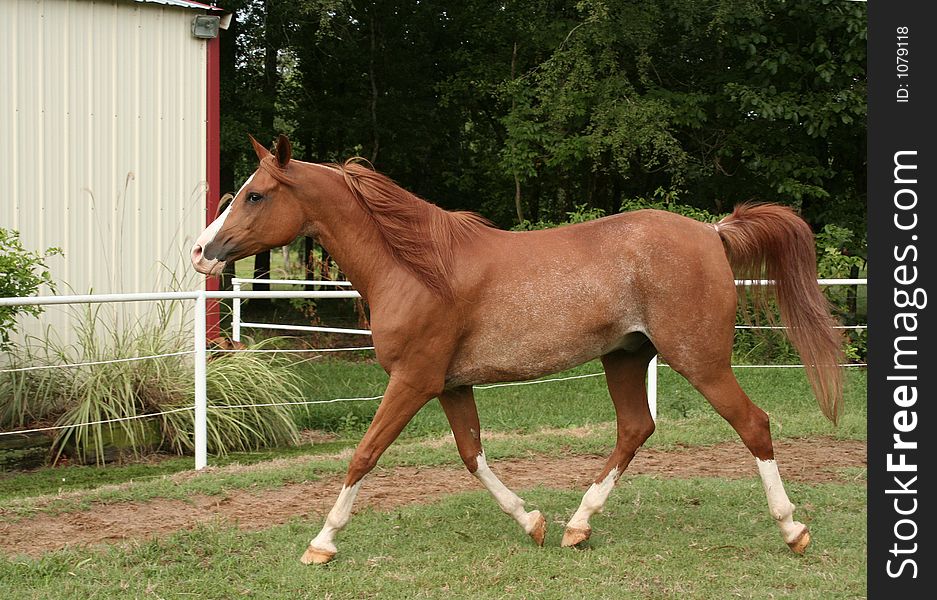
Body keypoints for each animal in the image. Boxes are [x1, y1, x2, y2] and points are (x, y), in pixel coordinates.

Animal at [190, 134, 840, 564]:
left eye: (256, 195)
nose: (201, 252)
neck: (415, 267)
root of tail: (712, 232)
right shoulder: (450, 384)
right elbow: (471, 454)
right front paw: (533, 523)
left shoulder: (412, 380)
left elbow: (364, 455)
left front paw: (321, 543)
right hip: (627, 357)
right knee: (635, 428)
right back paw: (578, 526)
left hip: (700, 360)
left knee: (753, 425)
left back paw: (793, 530)